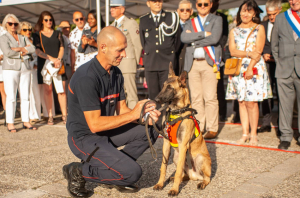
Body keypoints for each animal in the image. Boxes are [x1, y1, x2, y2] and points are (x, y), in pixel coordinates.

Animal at [152, 63, 211, 195]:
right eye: (163, 86)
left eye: (170, 87)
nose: (156, 100)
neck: (176, 112)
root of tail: (195, 176)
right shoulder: (166, 144)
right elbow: (163, 167)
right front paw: (160, 184)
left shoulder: (183, 145)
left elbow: (178, 170)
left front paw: (174, 190)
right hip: (176, 156)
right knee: (185, 175)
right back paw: (174, 178)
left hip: (199, 158)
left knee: (207, 178)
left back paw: (202, 183)